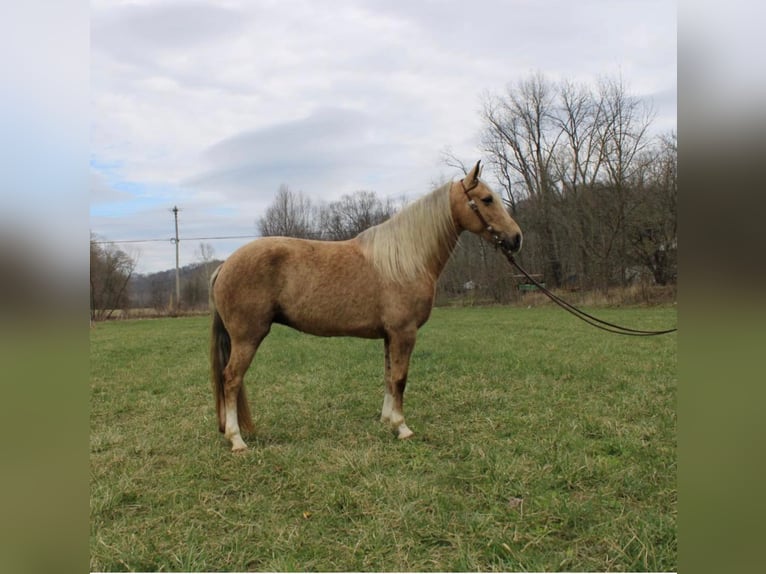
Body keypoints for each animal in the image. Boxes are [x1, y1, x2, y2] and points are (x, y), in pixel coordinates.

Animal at [210, 160, 520, 452]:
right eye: (487, 199)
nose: (516, 238)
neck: (405, 260)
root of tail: (225, 266)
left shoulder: (390, 336)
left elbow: (388, 377)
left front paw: (387, 420)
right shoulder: (404, 333)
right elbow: (400, 379)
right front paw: (402, 427)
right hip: (247, 338)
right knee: (231, 379)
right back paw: (237, 440)